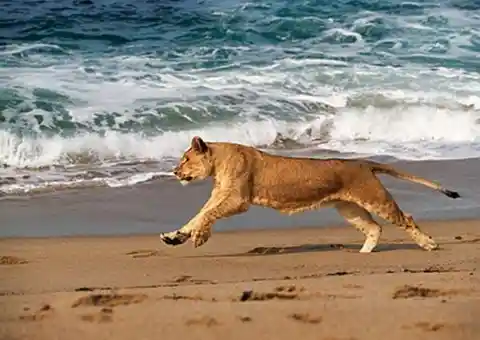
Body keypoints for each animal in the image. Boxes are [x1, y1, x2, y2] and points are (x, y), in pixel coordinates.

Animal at [159, 135, 460, 252]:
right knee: (374, 228)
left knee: (405, 218)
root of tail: (363, 162)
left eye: (185, 159)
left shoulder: (237, 200)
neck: (219, 162)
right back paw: (363, 253)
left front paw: (198, 237)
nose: (174, 171)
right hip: (349, 208)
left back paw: (429, 244)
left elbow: (207, 216)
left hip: (375, 198)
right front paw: (175, 236)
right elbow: (198, 215)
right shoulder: (219, 196)